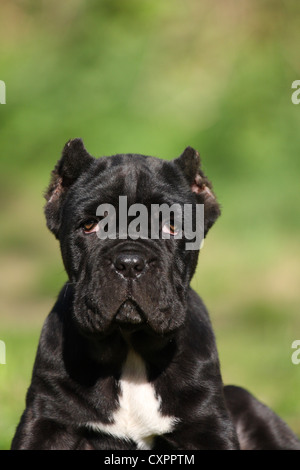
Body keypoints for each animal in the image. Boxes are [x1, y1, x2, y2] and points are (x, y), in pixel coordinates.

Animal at [11, 139, 300, 448]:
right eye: (89, 225)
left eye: (171, 226)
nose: (129, 263)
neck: (129, 346)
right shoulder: (47, 419)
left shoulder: (208, 425)